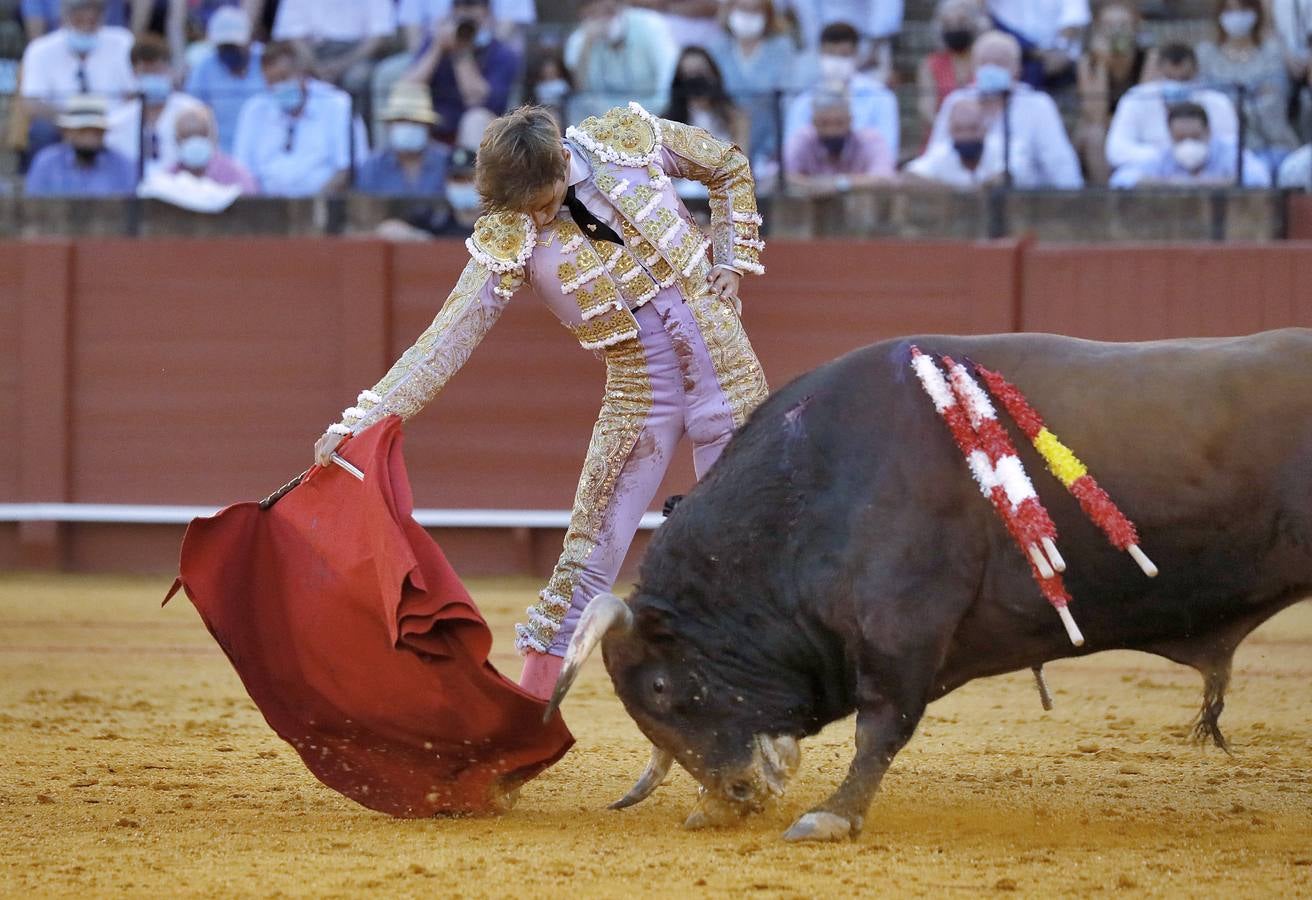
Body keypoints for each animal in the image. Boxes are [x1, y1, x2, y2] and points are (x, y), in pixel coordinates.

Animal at [543, 327, 1312, 844]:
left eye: (660, 688)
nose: (737, 795)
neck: (813, 486)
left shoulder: (903, 629)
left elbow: (881, 726)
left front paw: (831, 816)